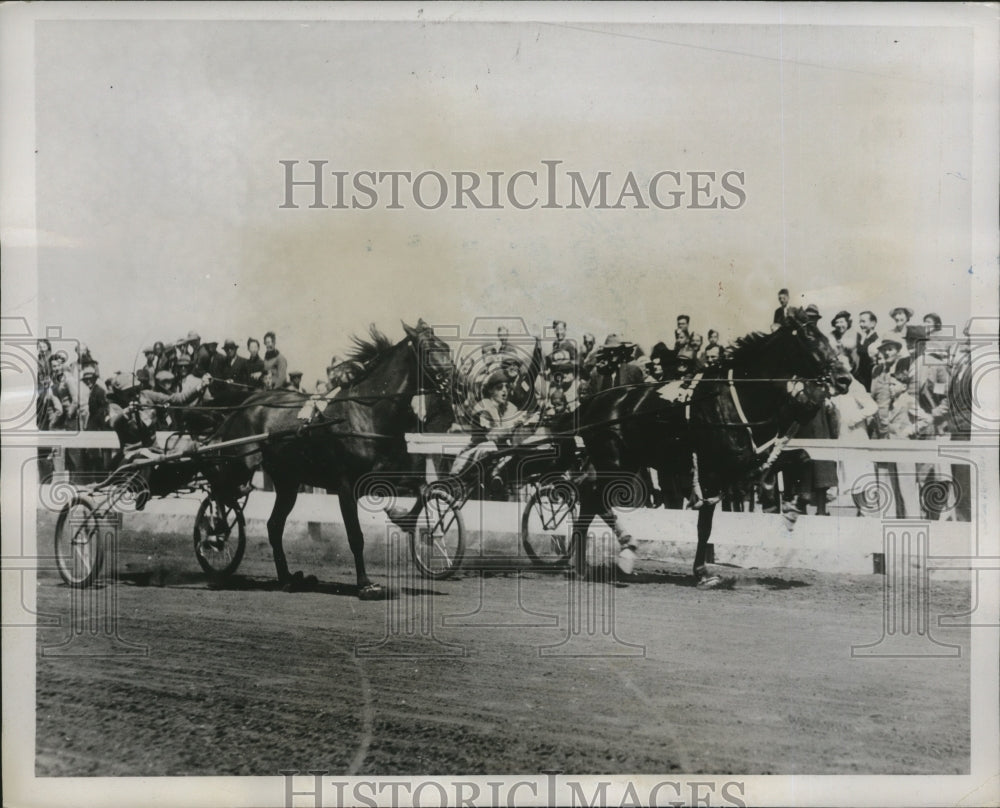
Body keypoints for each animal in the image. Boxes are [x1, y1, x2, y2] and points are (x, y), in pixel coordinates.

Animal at [205, 318, 456, 596]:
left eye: (446, 346)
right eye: (428, 349)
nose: (455, 382)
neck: (367, 413)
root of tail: (246, 403)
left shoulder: (390, 474)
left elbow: (423, 489)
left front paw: (405, 519)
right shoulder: (345, 485)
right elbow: (355, 536)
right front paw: (365, 584)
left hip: (287, 482)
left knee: (273, 525)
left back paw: (288, 578)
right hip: (240, 463)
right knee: (219, 485)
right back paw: (215, 534)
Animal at [572, 310, 852, 588]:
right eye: (809, 336)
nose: (844, 378)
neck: (733, 399)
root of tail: (594, 403)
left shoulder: (749, 463)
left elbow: (803, 458)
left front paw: (794, 509)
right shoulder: (716, 471)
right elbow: (704, 525)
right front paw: (702, 572)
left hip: (627, 463)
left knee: (589, 499)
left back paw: (581, 566)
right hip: (615, 463)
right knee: (594, 498)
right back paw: (624, 548)